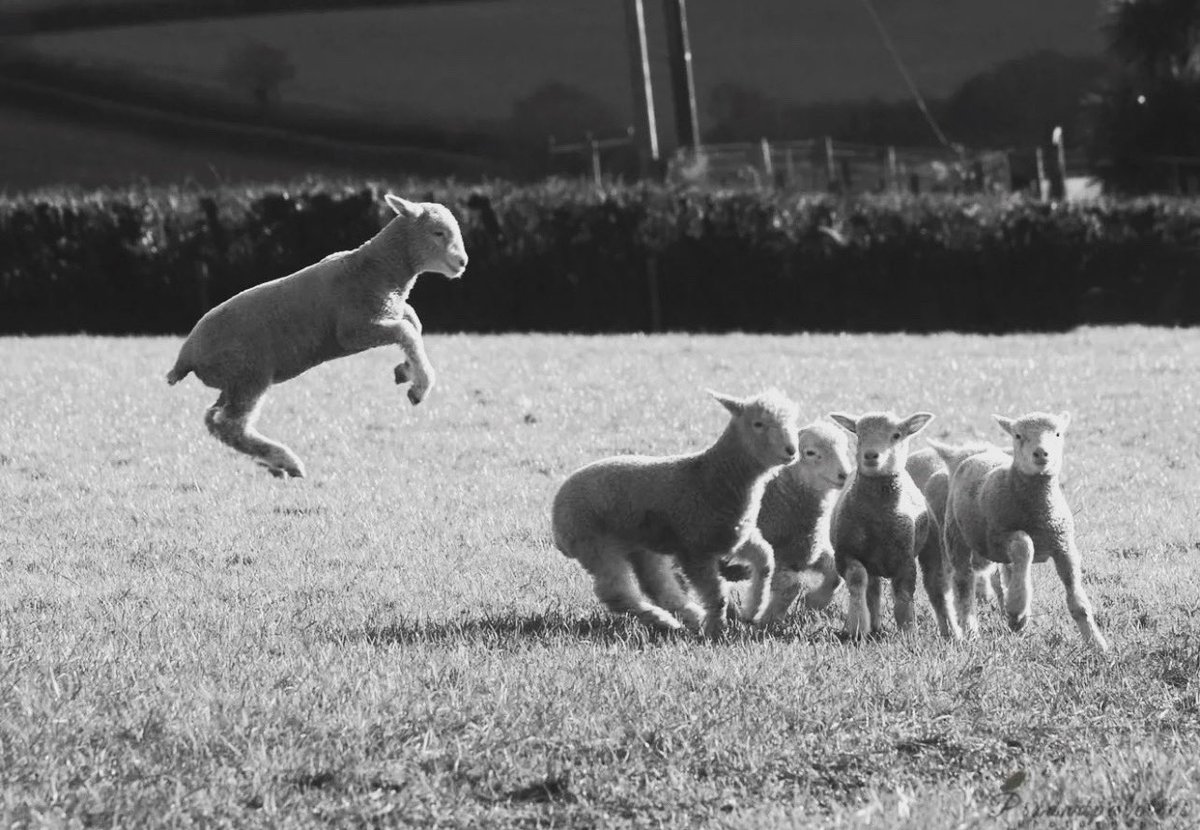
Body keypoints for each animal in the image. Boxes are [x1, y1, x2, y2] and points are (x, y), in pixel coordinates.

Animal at [166, 193, 468, 477]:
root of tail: (186, 355)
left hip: (233, 382)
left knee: (213, 420)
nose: (462, 262)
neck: (378, 267)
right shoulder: (354, 329)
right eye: (438, 232)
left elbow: (414, 322)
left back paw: (273, 464)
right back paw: (286, 461)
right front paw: (420, 386)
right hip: (250, 373)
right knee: (231, 425)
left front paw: (406, 370)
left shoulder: (386, 313)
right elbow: (407, 331)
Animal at [551, 389, 801, 638]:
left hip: (641, 545)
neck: (715, 475)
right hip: (596, 545)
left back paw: (688, 618)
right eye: (758, 423)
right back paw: (666, 621)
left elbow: (765, 560)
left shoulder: (733, 537)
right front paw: (715, 632)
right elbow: (718, 597)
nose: (791, 450)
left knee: (657, 586)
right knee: (617, 593)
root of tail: (556, 516)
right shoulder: (695, 551)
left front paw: (752, 610)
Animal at [719, 420, 853, 622]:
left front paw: (814, 601)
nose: (845, 474)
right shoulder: (775, 558)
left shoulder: (807, 551)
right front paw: (767, 619)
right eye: (810, 452)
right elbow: (792, 586)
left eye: (846, 449)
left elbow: (836, 575)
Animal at [828, 411, 959, 640]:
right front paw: (857, 625)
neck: (877, 517)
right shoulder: (845, 553)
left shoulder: (905, 559)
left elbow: (904, 594)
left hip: (932, 547)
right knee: (873, 589)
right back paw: (874, 626)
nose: (871, 455)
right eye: (859, 434)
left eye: (896, 435)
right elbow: (857, 581)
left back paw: (950, 631)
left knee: (936, 587)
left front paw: (907, 630)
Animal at [938, 412, 1108, 651]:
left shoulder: (1064, 546)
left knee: (1011, 572)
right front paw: (1017, 612)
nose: (1041, 453)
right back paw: (973, 631)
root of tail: (976, 453)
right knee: (964, 585)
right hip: (956, 536)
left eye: (1058, 434)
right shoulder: (997, 538)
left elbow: (1078, 600)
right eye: (1018, 435)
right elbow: (1024, 544)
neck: (1038, 512)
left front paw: (1096, 643)